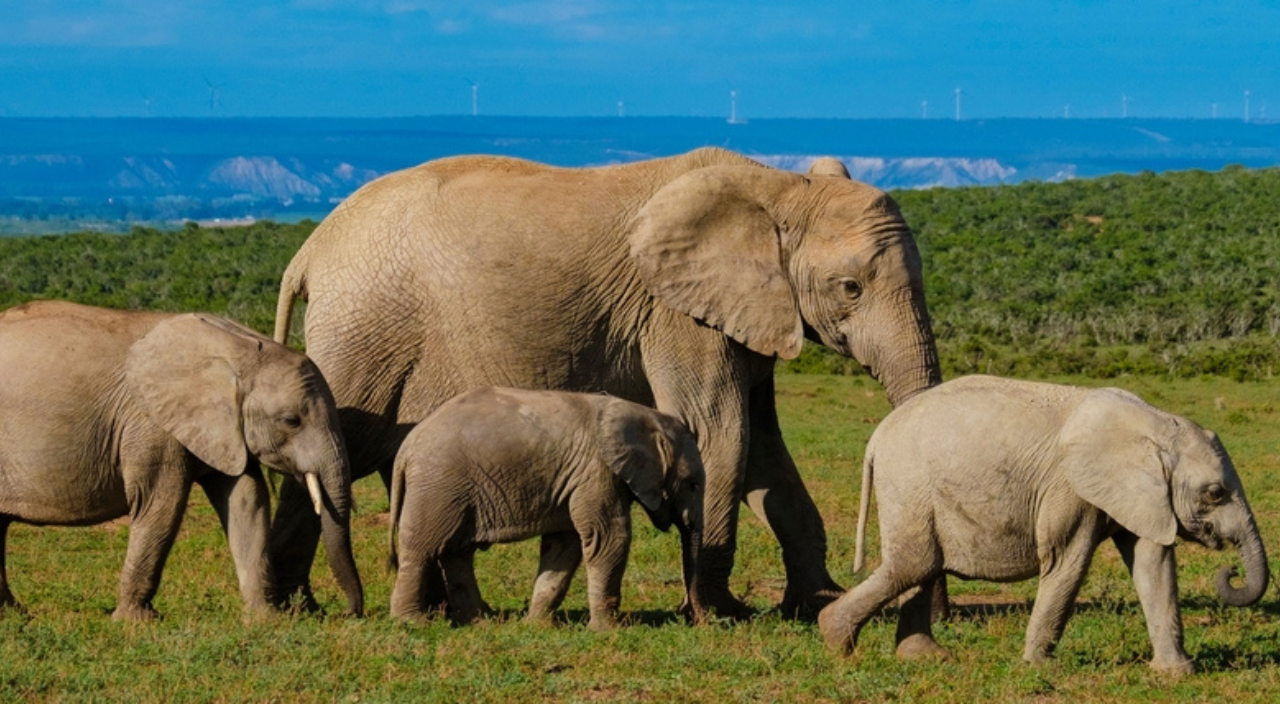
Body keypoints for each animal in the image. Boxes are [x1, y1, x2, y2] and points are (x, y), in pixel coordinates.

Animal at [0, 300, 363, 619]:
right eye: (291, 421)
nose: (345, 613)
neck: (238, 347)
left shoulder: (224, 428)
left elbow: (247, 500)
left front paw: (267, 619)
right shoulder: (150, 423)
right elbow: (161, 503)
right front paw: (136, 622)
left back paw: (13, 615)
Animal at [387, 387, 705, 629]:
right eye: (692, 484)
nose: (695, 618)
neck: (643, 414)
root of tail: (407, 447)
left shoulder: (577, 478)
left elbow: (564, 546)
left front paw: (536, 626)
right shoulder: (596, 471)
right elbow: (607, 538)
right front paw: (610, 630)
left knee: (456, 552)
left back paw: (481, 622)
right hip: (438, 487)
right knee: (422, 549)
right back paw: (414, 623)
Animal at [817, 374, 1270, 675]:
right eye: (1215, 493)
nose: (1229, 570)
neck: (1153, 425)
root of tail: (876, 438)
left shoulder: (1143, 494)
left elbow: (1152, 563)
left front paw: (1176, 674)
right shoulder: (1069, 489)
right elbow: (1067, 563)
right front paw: (1041, 667)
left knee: (922, 566)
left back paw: (925, 658)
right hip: (907, 481)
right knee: (914, 563)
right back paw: (836, 642)